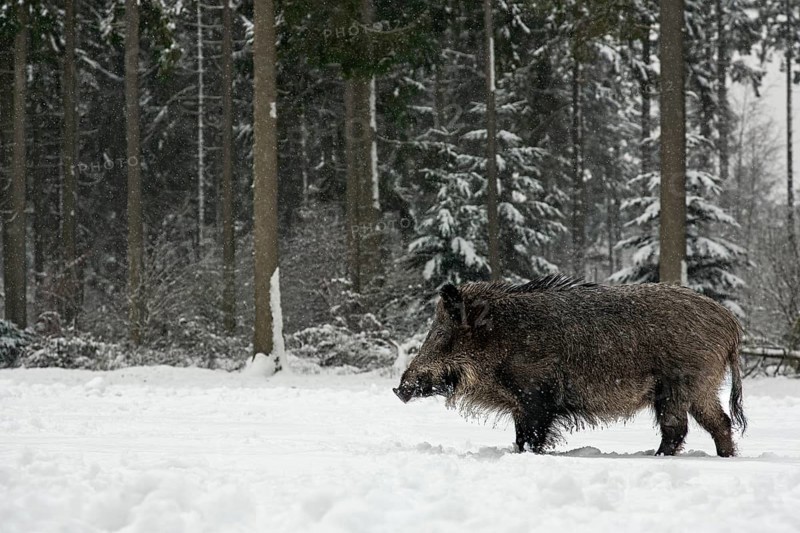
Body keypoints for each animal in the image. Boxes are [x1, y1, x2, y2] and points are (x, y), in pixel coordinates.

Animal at [393, 275, 746, 456]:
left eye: (441, 334)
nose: (399, 388)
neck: (497, 339)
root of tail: (730, 325)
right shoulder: (521, 405)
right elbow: (520, 437)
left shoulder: (536, 398)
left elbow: (531, 438)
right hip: (701, 388)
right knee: (720, 422)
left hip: (678, 385)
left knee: (678, 427)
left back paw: (655, 457)